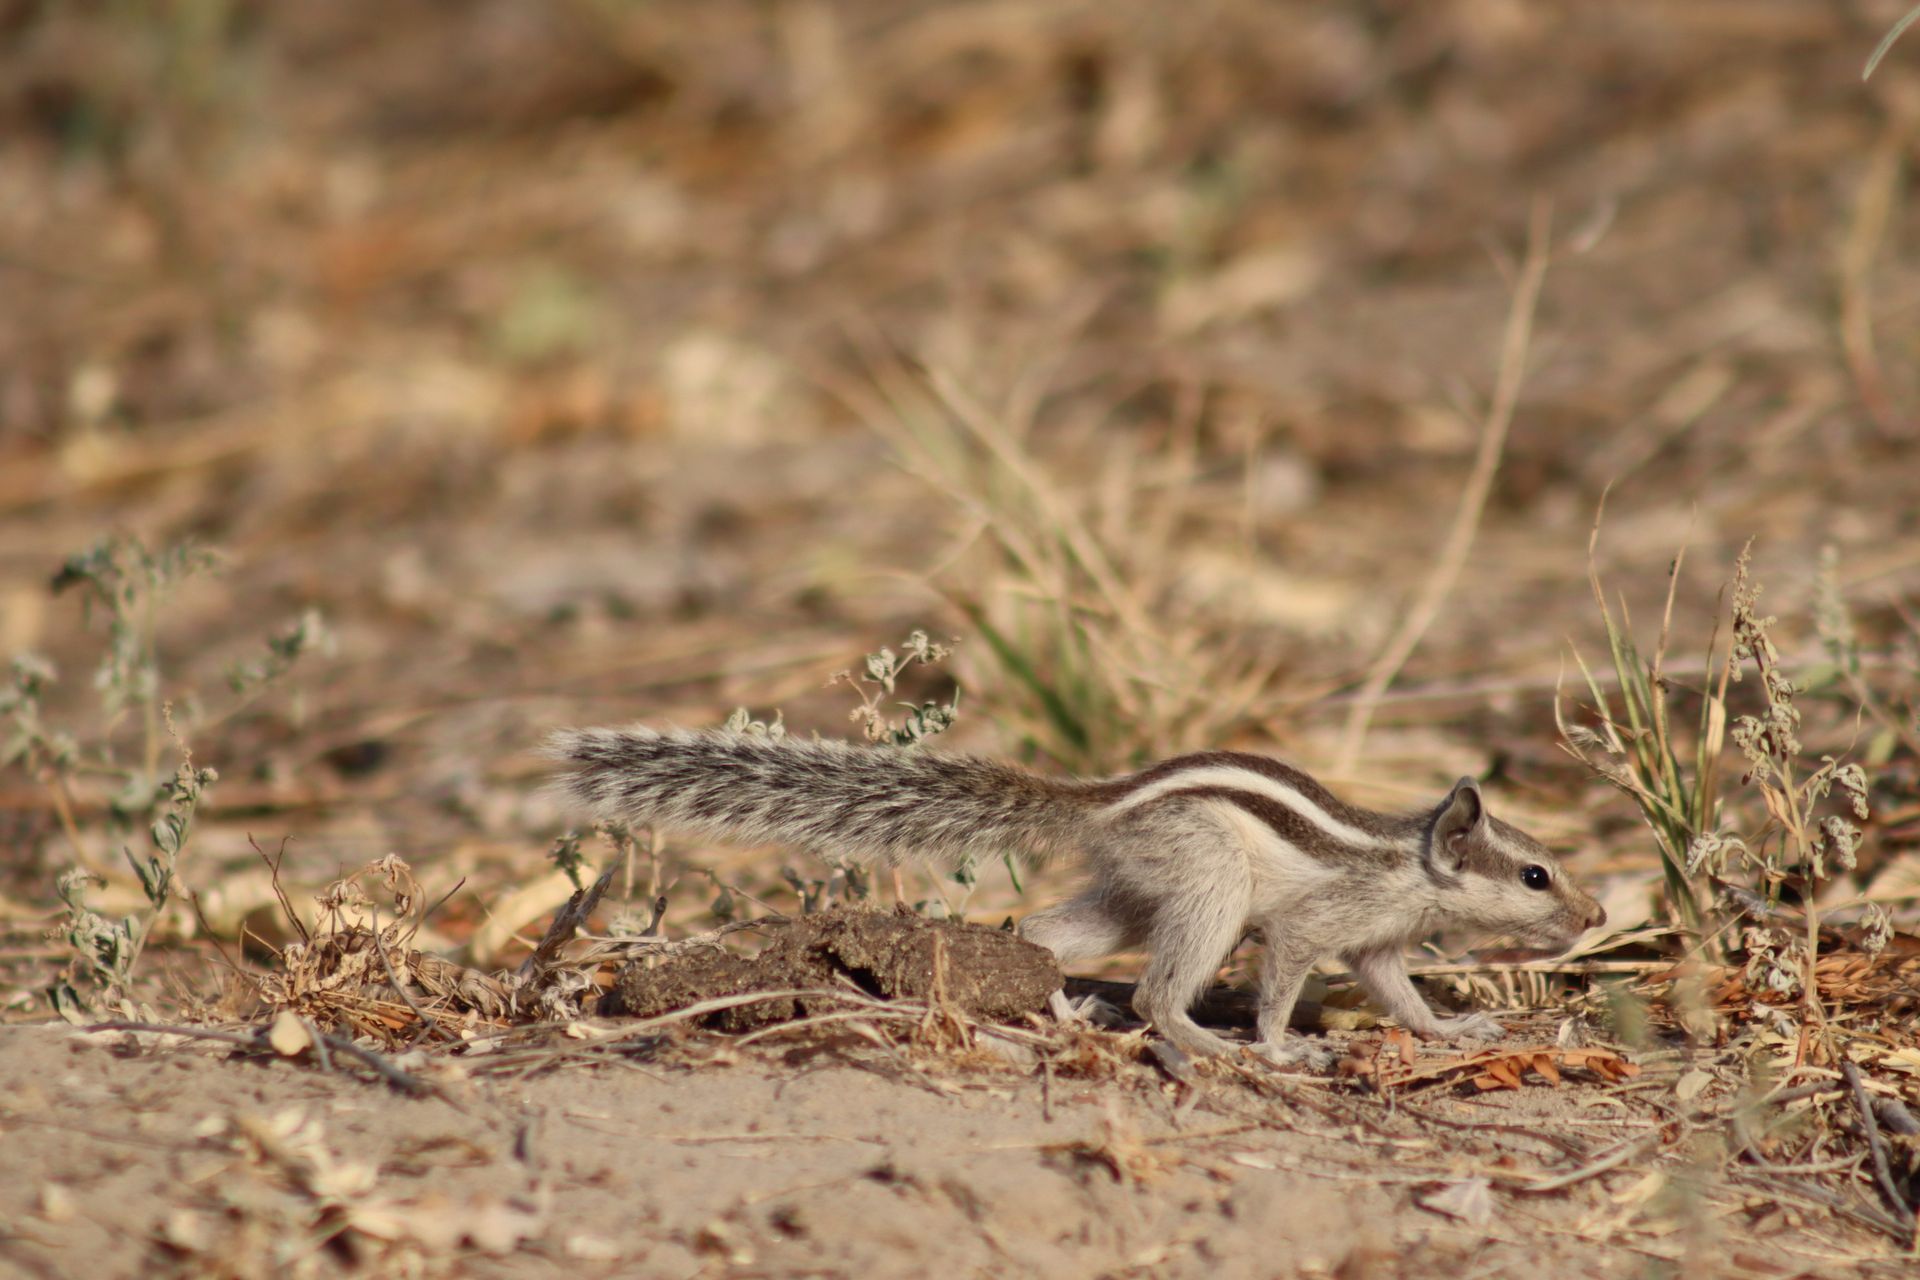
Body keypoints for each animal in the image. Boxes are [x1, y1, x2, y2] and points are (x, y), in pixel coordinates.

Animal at [545, 726, 1607, 1062]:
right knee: (1155, 992)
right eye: (1537, 875)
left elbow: (1402, 998)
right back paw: (1204, 1043)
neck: (1407, 864)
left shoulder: (1380, 948)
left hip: (1139, 894)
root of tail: (1105, 800)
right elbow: (1285, 979)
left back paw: (1058, 1006)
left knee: (1051, 933)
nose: (1596, 916)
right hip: (1210, 888)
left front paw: (1455, 1028)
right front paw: (1277, 1045)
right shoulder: (1318, 928)